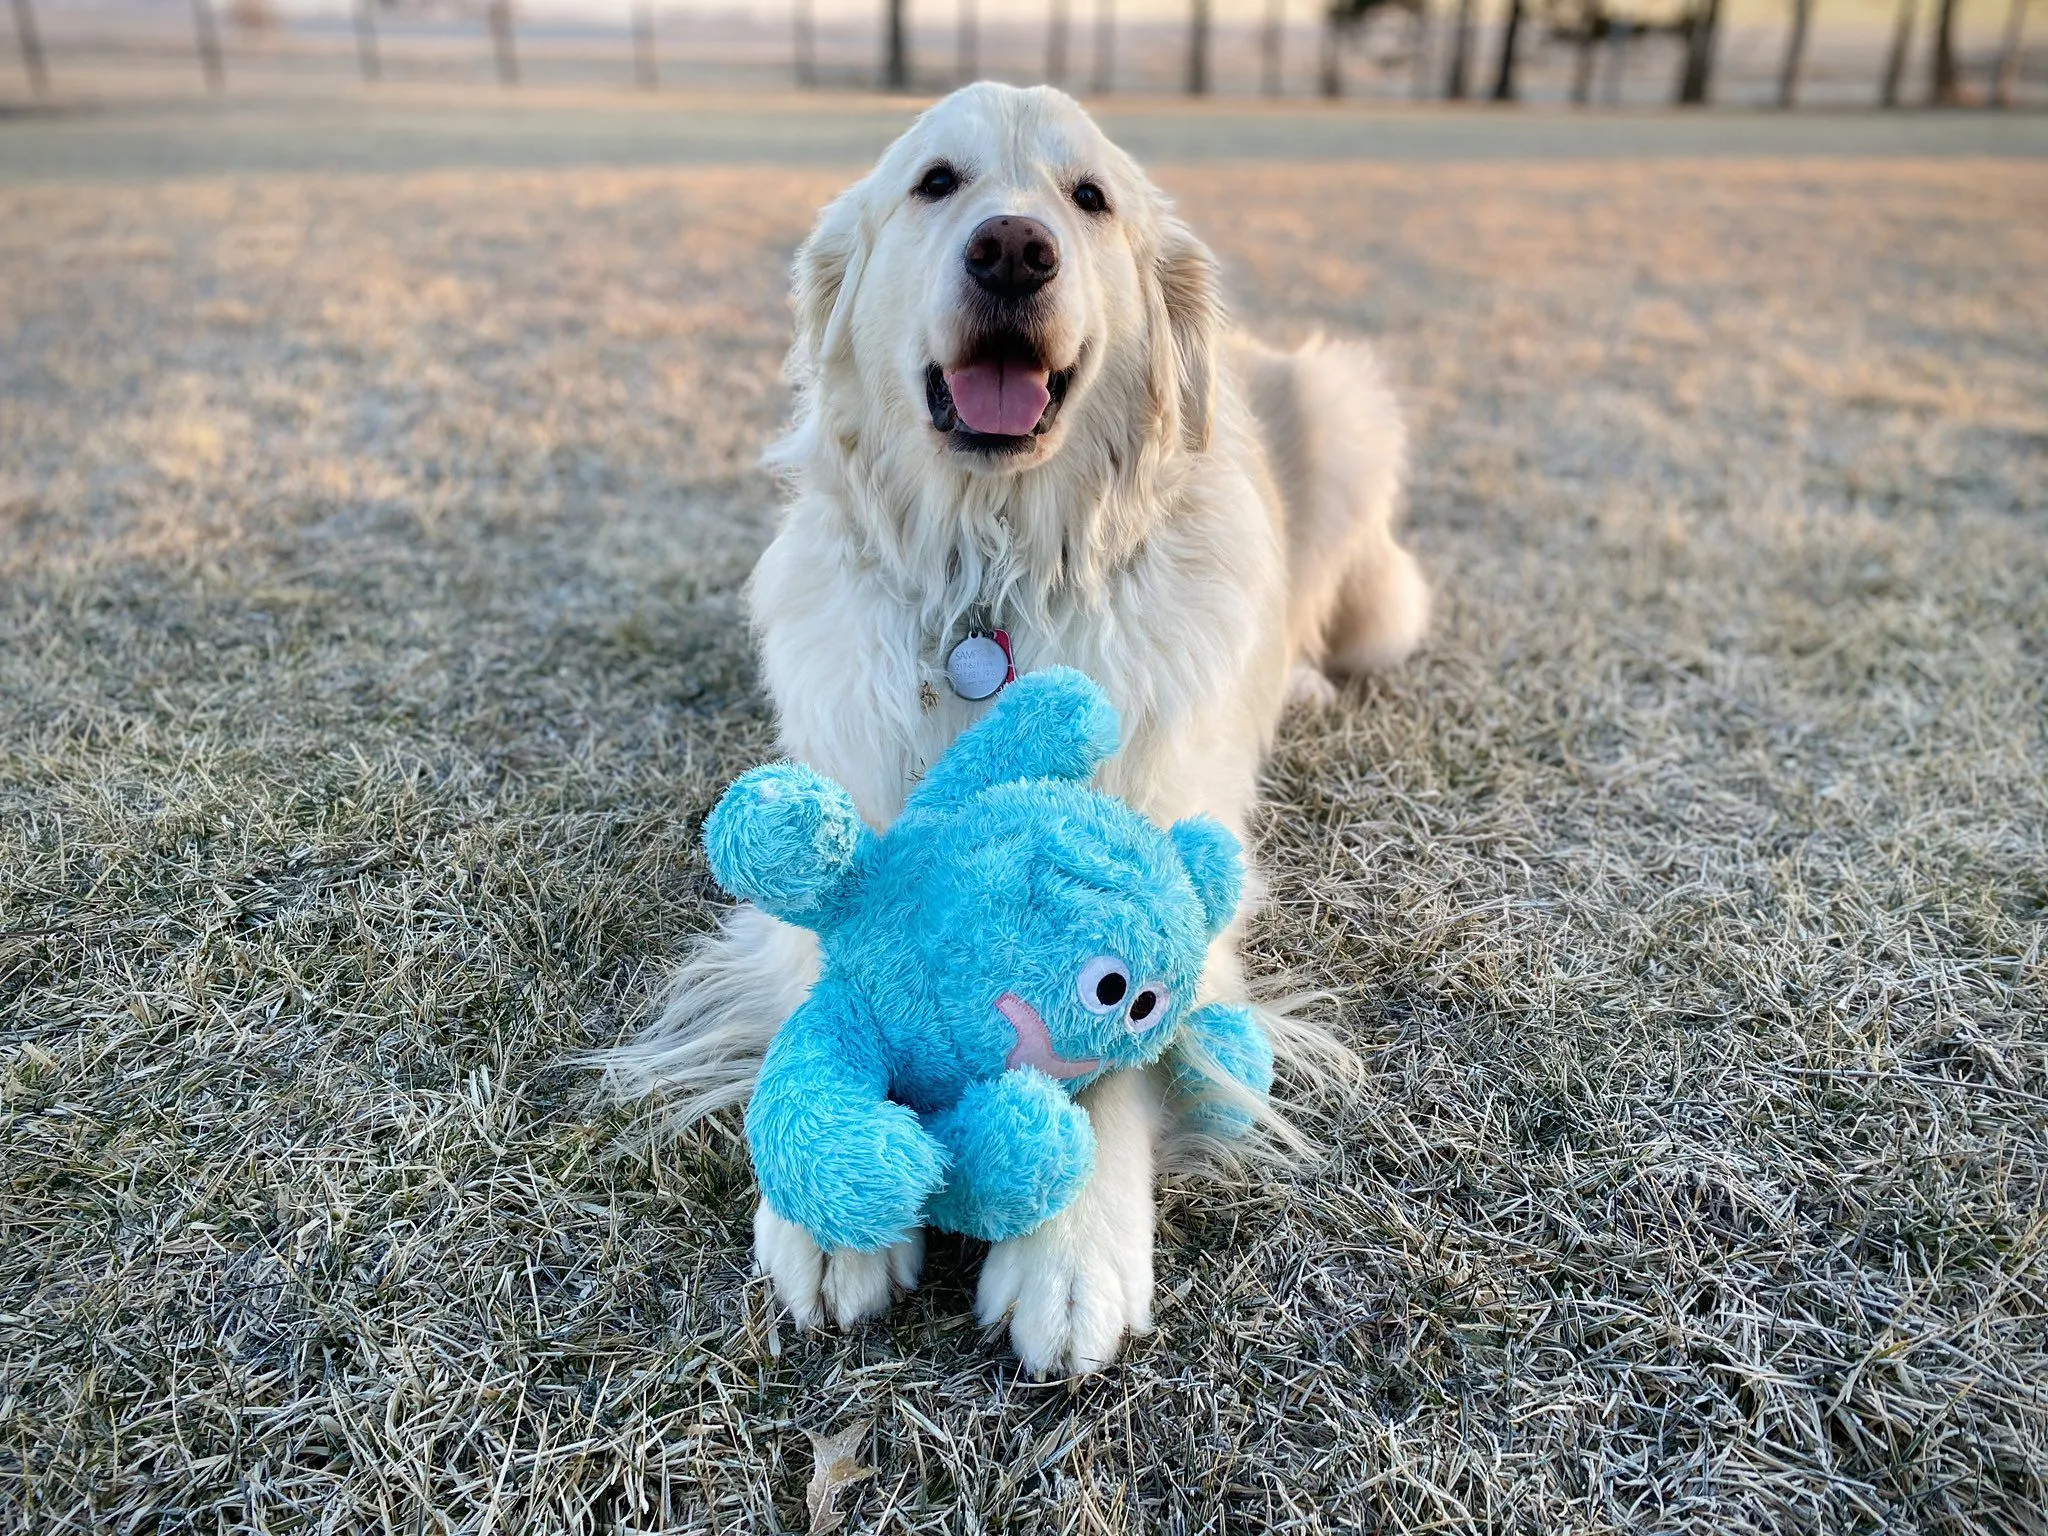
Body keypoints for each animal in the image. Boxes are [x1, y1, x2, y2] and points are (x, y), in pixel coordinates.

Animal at [614, 81, 1433, 1384]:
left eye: (1087, 196)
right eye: (935, 183)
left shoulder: (1167, 852)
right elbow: (826, 977)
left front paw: (1069, 1247)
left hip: (1357, 459)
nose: (1011, 248)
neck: (991, 573)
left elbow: (1118, 1039)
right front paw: (827, 1212)